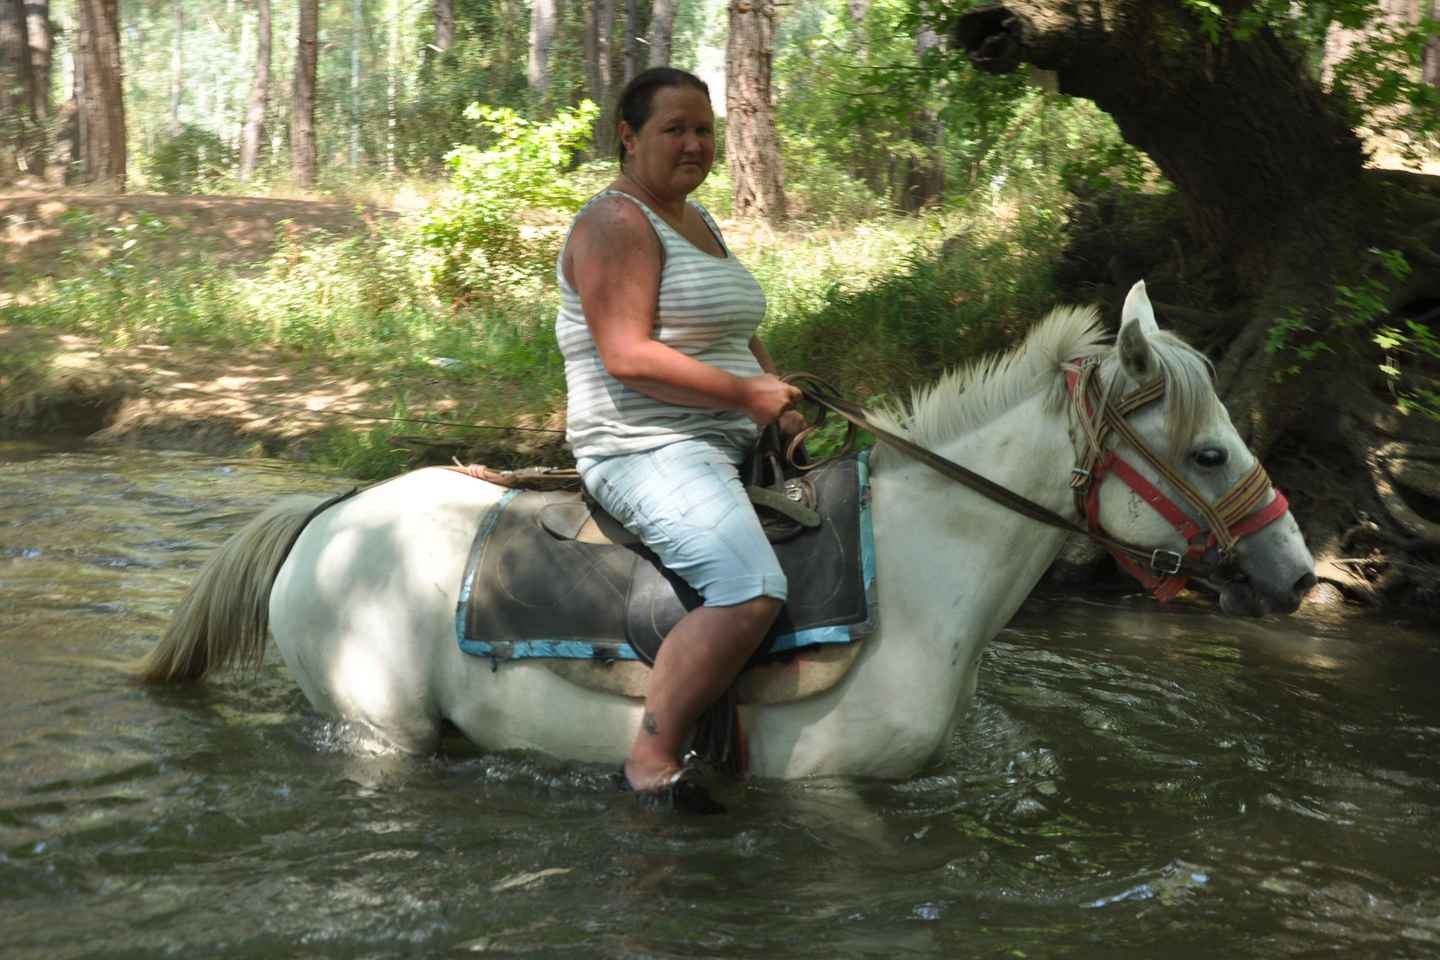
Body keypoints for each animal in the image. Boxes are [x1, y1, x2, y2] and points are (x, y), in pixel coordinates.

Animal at [141, 281, 1316, 780]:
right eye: (1209, 455)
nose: (1298, 572)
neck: (926, 569)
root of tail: (328, 517)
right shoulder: (831, 797)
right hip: (381, 728)